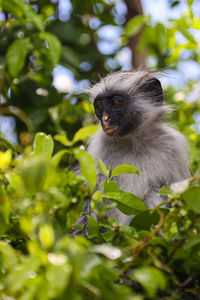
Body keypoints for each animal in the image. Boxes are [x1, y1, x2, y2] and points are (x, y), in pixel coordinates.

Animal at [72, 71, 191, 234]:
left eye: (116, 103)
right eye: (99, 107)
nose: (105, 119)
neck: (134, 142)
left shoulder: (173, 145)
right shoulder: (99, 147)